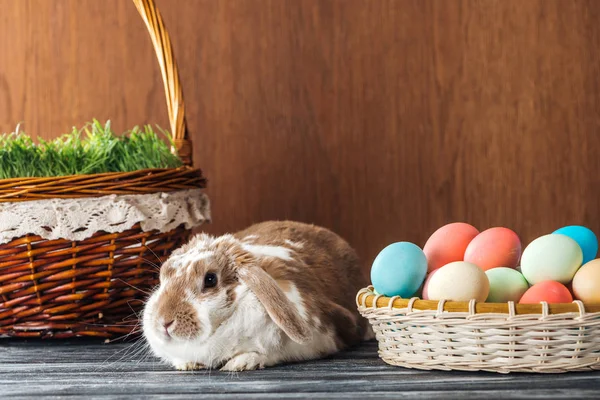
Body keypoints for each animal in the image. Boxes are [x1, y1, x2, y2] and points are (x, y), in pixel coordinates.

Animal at [142, 220, 372, 370]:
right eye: (164, 276)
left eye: (210, 279)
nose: (164, 322)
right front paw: (188, 364)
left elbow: (266, 353)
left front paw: (239, 364)